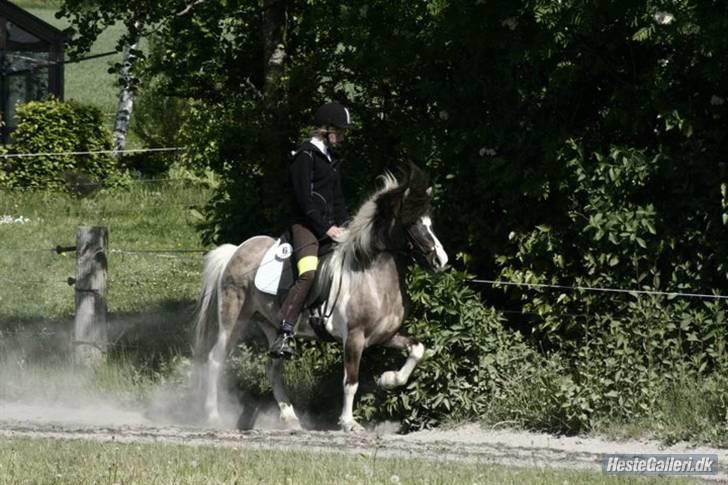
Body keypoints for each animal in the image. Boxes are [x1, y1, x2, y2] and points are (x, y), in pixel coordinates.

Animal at [191, 164, 446, 432]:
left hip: (271, 324)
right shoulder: (354, 338)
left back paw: (291, 418)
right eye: (412, 224)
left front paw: (388, 379)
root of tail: (236, 251)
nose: (441, 261)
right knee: (216, 360)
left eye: (429, 223)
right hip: (233, 319)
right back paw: (214, 416)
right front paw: (348, 422)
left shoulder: (384, 335)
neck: (370, 276)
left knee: (273, 368)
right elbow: (350, 381)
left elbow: (417, 349)